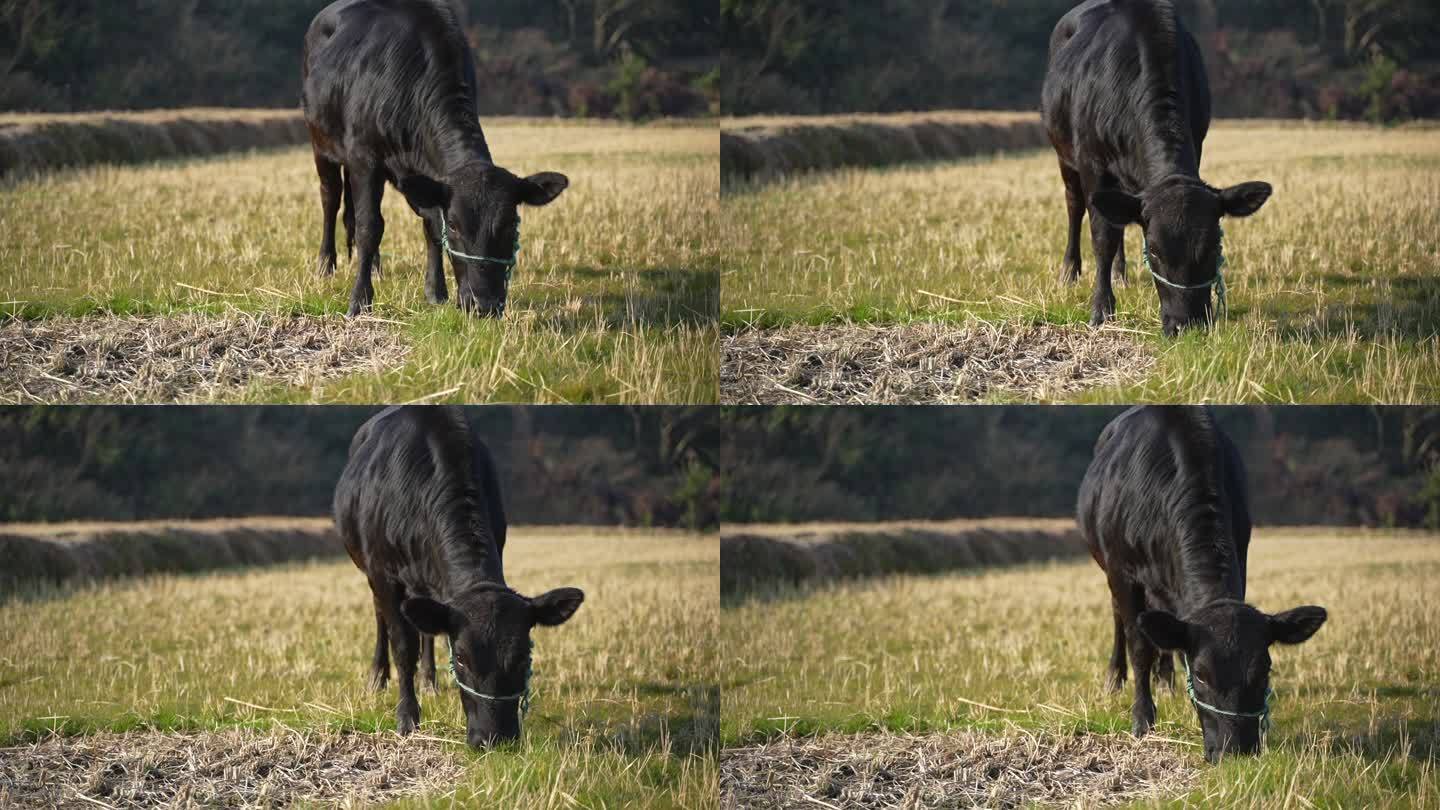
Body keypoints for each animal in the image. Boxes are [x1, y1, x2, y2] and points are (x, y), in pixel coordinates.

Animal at [302, 3, 567, 318]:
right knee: (330, 199)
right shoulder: (364, 159)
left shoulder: (427, 177)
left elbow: (430, 226)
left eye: (511, 223)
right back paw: (325, 265)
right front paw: (359, 300)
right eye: (454, 225)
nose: (484, 304)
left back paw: (377, 268)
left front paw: (436, 291)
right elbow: (370, 227)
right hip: (321, 145)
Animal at [331, 406, 584, 749]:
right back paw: (377, 678)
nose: (494, 738)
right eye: (461, 657)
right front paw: (407, 717)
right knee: (381, 616)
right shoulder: (383, 574)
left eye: (523, 655)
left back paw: (429, 681)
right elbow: (403, 645)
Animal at [1048, 0, 1272, 334]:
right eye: (1153, 250)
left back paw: (1121, 274)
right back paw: (1070, 272)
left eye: (1214, 245)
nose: (1187, 324)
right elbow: (1102, 236)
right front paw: (1101, 309)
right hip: (1065, 157)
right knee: (1075, 207)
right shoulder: (1092, 164)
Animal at [1082, 406, 1324, 760]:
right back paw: (1116, 678)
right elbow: (1139, 645)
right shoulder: (1122, 571)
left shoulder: (1241, 551)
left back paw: (1166, 680)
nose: (1235, 751)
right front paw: (1142, 719)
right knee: (1121, 620)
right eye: (1200, 673)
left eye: (1264, 670)